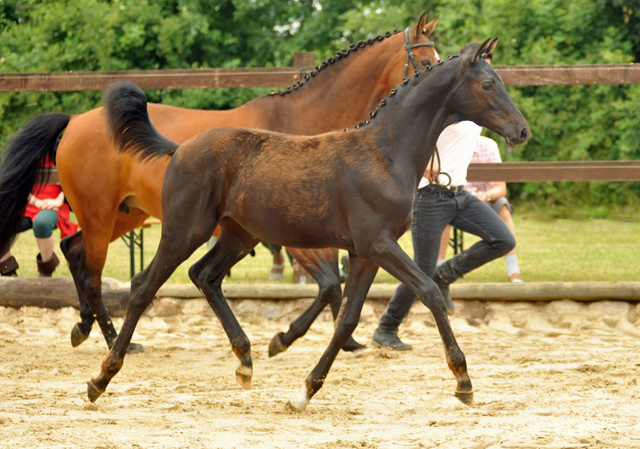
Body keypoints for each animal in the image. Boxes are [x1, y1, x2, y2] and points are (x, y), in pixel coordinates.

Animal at [87, 39, 528, 410]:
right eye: (488, 83)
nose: (521, 130)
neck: (384, 154)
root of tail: (179, 149)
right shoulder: (379, 243)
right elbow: (430, 291)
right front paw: (463, 382)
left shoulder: (365, 253)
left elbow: (347, 317)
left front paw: (304, 390)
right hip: (185, 229)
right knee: (144, 286)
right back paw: (101, 378)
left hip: (238, 234)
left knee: (204, 275)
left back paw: (245, 361)